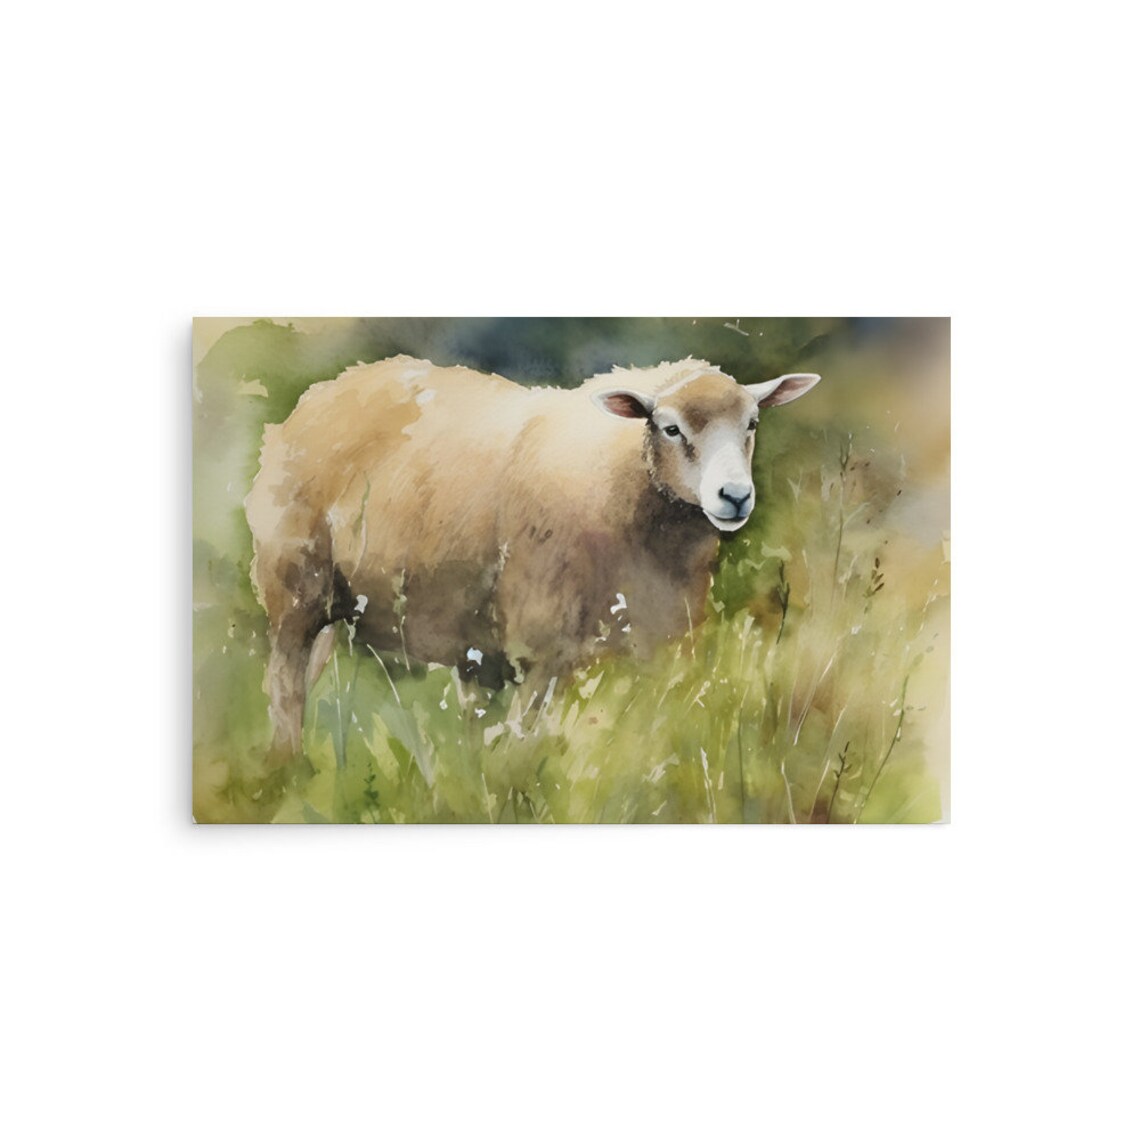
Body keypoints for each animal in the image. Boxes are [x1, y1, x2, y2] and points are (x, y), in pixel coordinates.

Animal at [246, 355, 820, 757]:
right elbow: (524, 750)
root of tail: (326, 389)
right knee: (285, 688)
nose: (734, 496)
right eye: (671, 427)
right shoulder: (543, 650)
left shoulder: (662, 654)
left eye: (751, 424)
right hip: (293, 585)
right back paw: (287, 768)